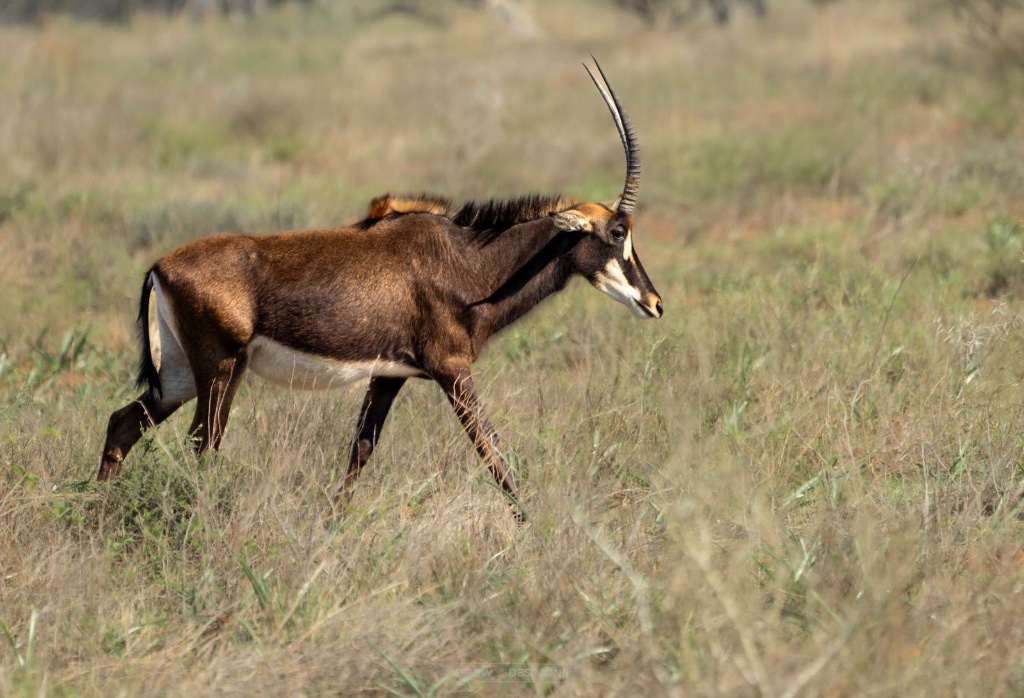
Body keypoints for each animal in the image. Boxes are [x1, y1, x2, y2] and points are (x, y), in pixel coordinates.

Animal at [97, 59, 663, 520]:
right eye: (618, 232)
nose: (655, 303)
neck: (468, 259)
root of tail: (159, 265)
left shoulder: (390, 375)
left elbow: (361, 451)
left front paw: (331, 524)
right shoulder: (451, 370)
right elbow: (493, 451)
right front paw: (533, 526)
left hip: (180, 374)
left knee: (124, 423)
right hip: (220, 370)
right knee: (201, 445)